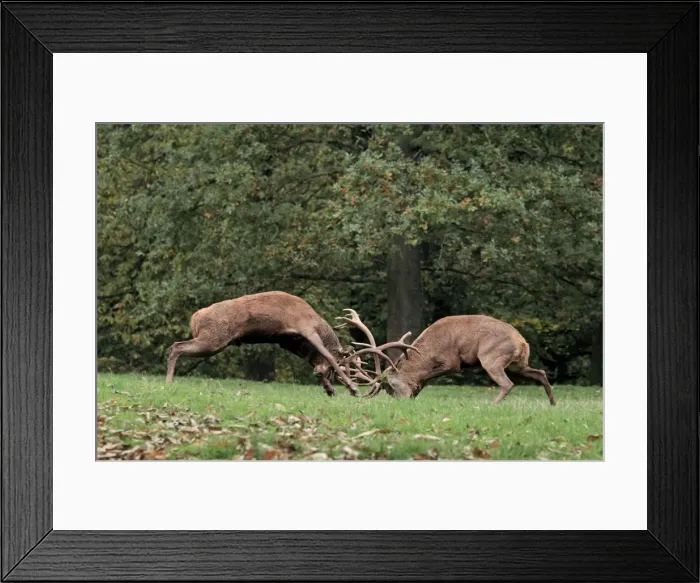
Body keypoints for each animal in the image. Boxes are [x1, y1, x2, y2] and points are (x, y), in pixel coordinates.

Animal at [165, 291, 387, 397]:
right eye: (343, 363)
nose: (323, 377)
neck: (321, 326)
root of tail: (194, 317)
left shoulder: (289, 343)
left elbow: (314, 359)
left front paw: (330, 389)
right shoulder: (306, 328)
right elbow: (327, 354)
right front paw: (352, 387)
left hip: (214, 341)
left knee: (175, 346)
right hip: (214, 339)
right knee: (176, 346)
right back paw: (168, 381)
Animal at [337, 313, 556, 406]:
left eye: (391, 386)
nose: (401, 402)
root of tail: (522, 341)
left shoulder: (452, 362)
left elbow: (426, 378)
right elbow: (423, 382)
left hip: (490, 357)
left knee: (507, 383)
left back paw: (491, 404)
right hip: (518, 364)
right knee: (540, 372)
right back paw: (553, 403)